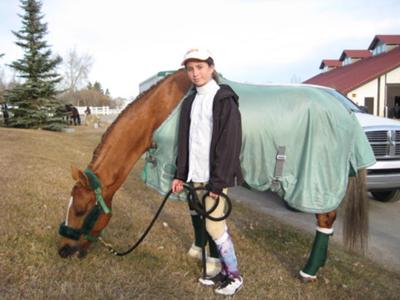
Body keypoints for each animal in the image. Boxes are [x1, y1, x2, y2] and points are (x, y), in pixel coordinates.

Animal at [57, 69, 374, 282]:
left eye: (82, 209)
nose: (63, 250)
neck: (163, 111)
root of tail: (346, 112)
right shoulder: (188, 179)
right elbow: (198, 216)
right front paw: (200, 253)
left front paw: (212, 264)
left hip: (316, 183)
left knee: (326, 220)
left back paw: (308, 271)